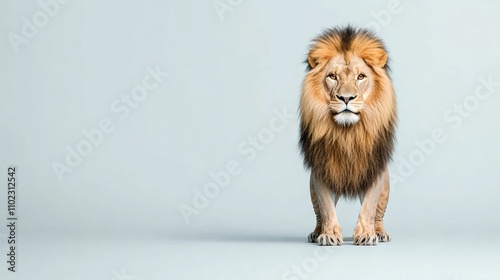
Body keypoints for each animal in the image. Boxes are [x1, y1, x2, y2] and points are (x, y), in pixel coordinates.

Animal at [298, 26, 396, 245]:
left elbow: (368, 207)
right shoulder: (321, 171)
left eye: (361, 77)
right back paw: (316, 233)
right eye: (332, 76)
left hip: (386, 188)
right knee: (318, 214)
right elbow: (327, 208)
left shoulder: (374, 169)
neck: (347, 133)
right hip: (311, 189)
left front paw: (366, 234)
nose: (346, 98)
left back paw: (380, 232)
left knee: (378, 214)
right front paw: (329, 234)